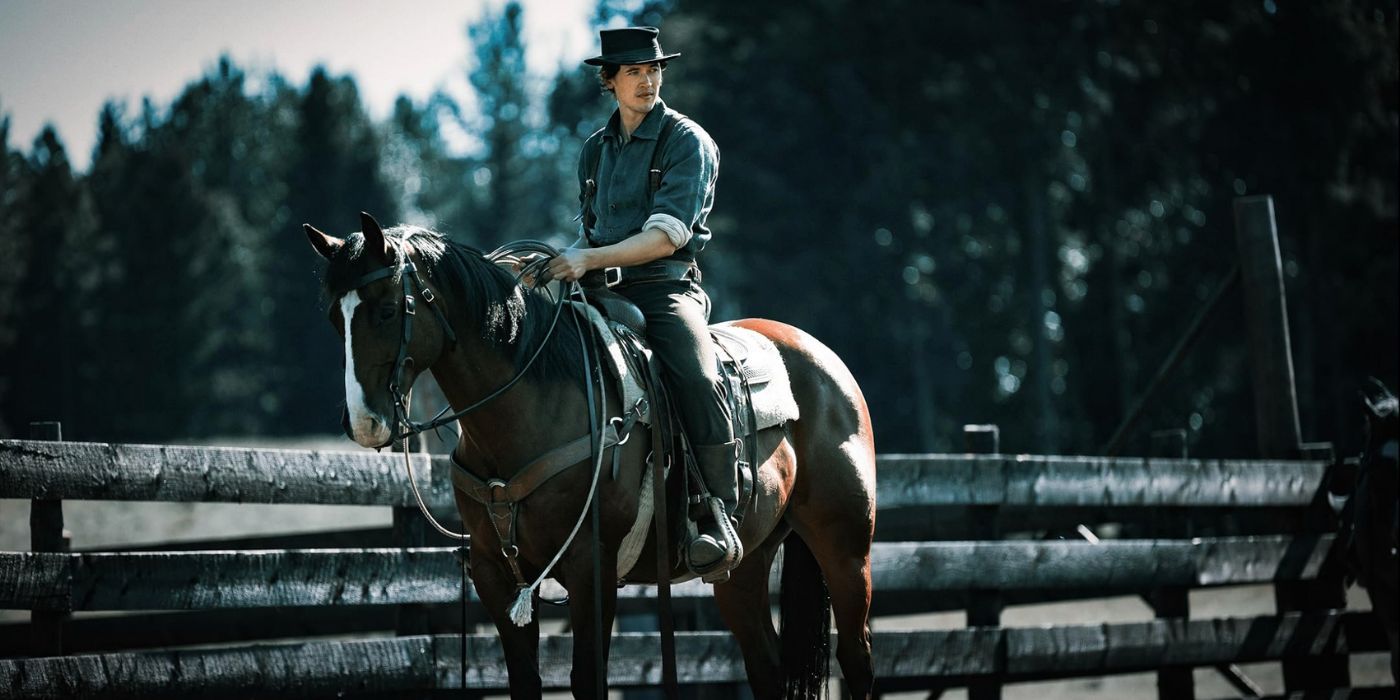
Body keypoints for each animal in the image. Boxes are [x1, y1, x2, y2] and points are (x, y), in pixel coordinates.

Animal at [305, 214, 873, 700]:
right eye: (334, 317)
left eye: (385, 310)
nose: (364, 422)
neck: (529, 408)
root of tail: (823, 360)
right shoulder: (494, 573)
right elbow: (525, 681)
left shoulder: (589, 569)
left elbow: (588, 680)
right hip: (746, 565)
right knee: (766, 665)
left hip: (845, 550)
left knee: (857, 659)